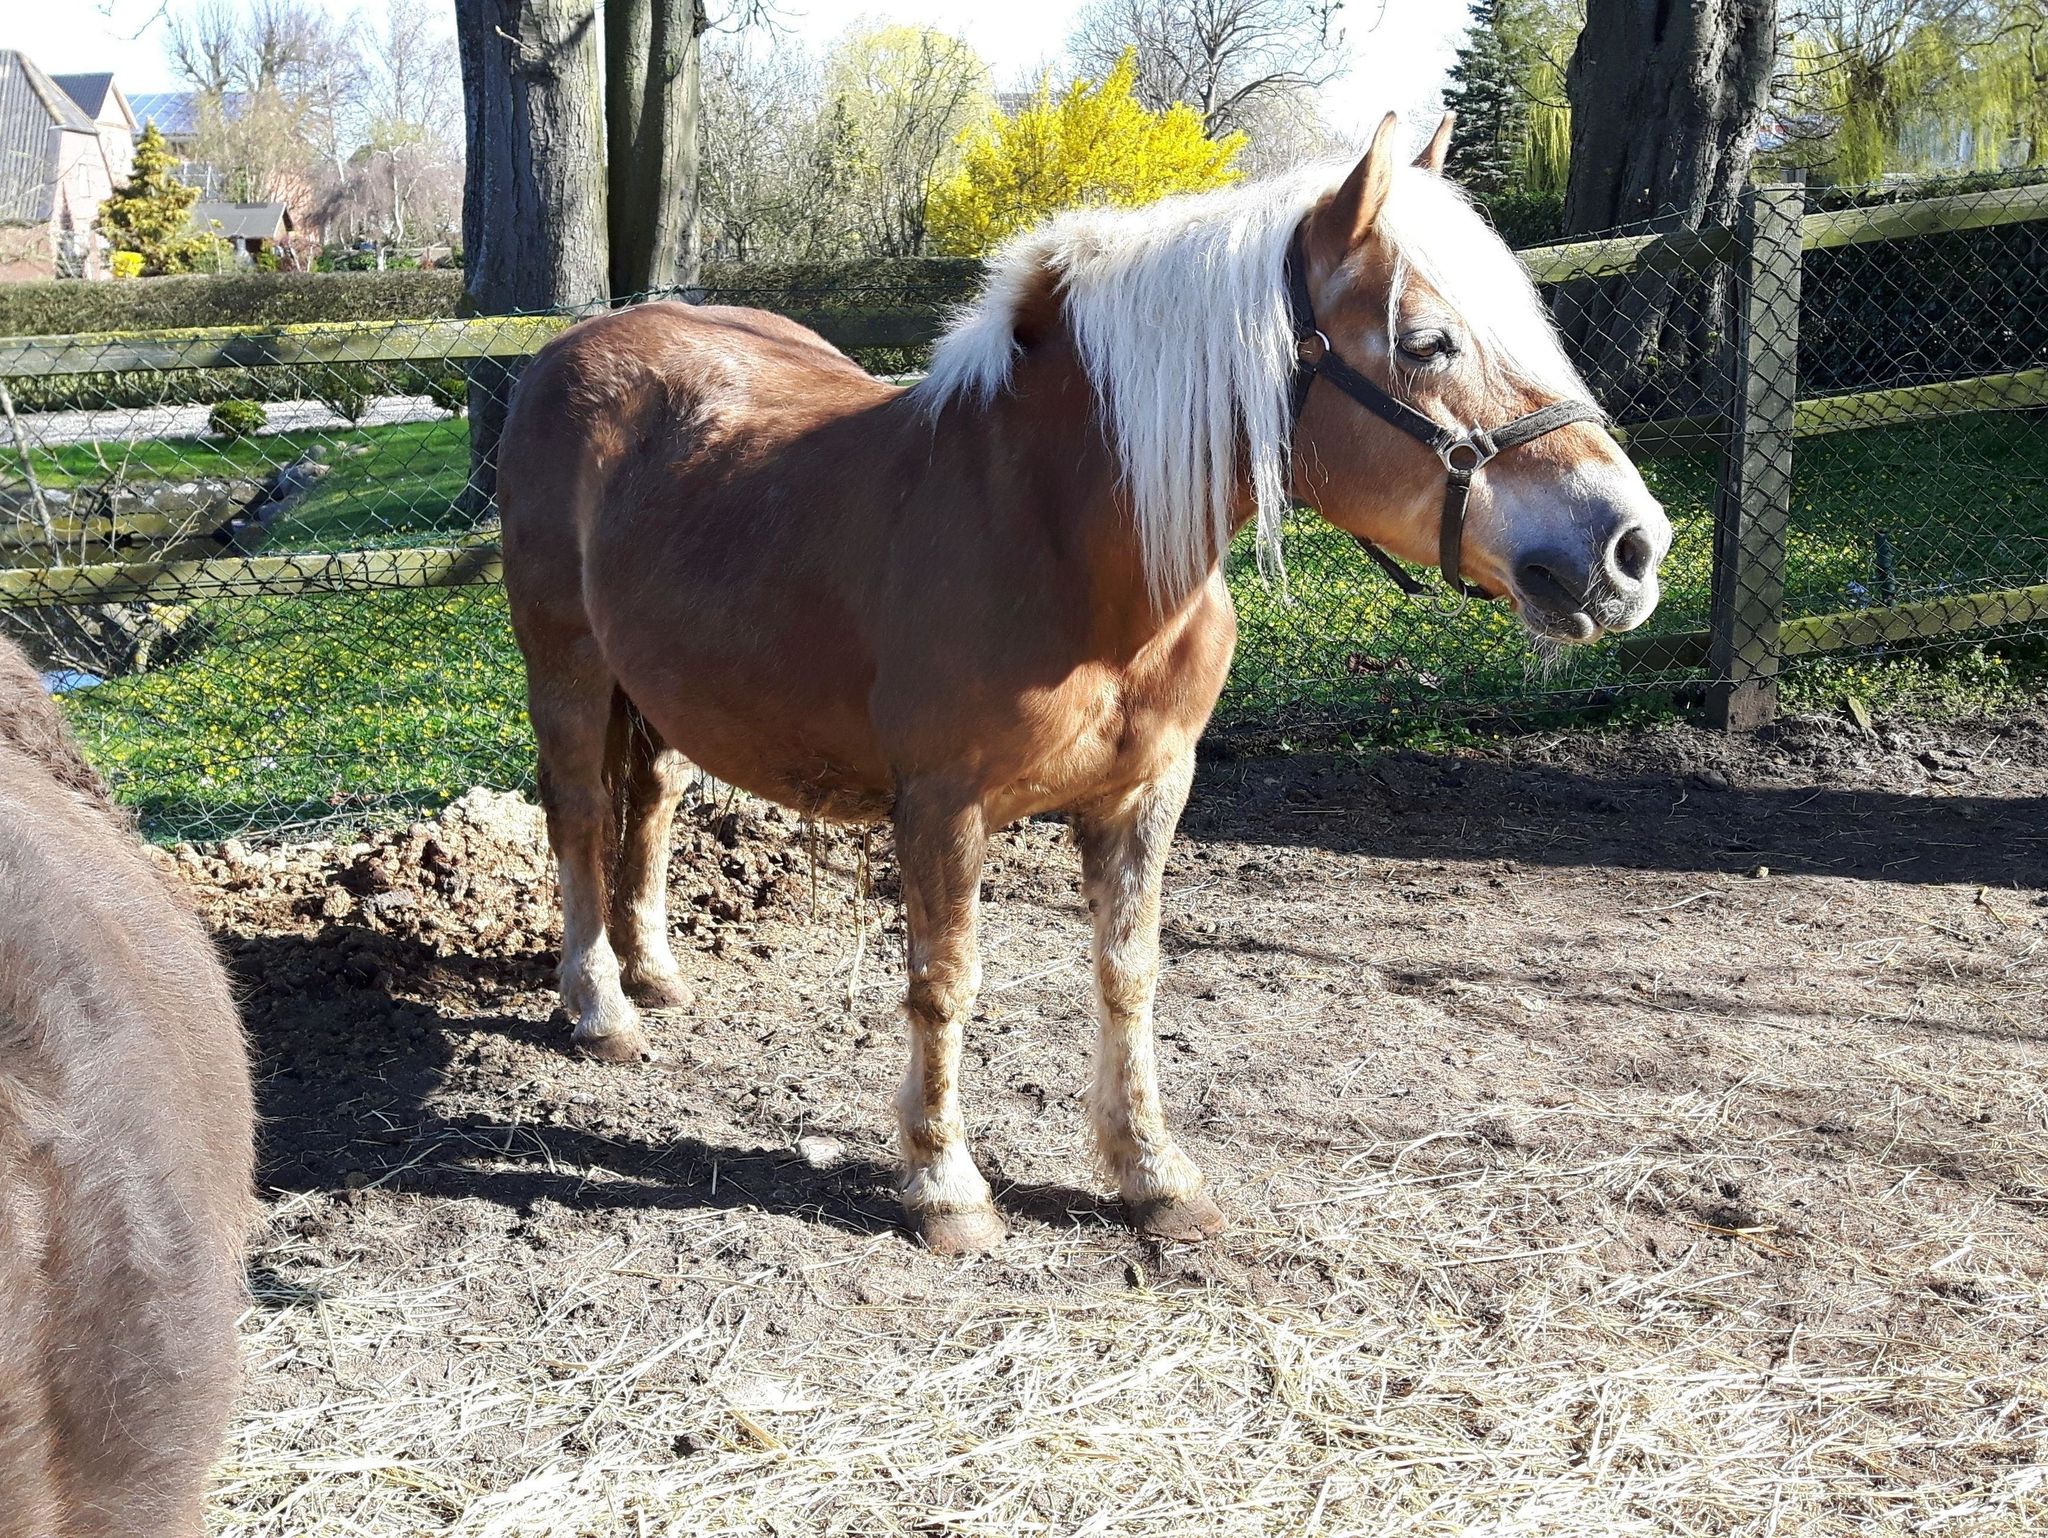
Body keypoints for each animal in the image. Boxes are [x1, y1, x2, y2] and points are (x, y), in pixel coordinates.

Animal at [499, 117, 1662, 1253]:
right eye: (1425, 341)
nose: (1629, 549)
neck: (1061, 540)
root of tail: (572, 349)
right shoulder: (942, 805)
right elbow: (945, 980)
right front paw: (944, 1185)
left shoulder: (1148, 790)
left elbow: (1127, 973)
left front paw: (1152, 1174)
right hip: (566, 661)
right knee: (582, 811)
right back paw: (600, 1005)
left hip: (658, 685)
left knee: (650, 800)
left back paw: (652, 968)